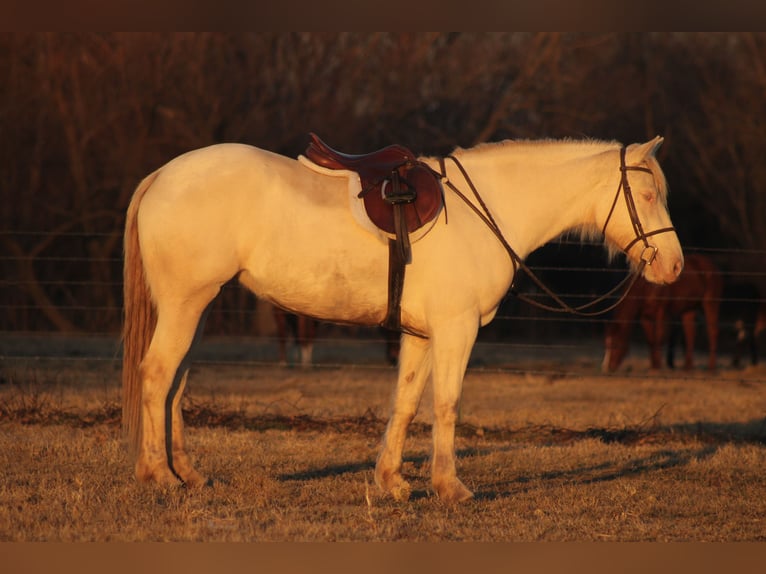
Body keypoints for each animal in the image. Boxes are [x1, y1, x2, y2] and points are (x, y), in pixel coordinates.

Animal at [122, 135, 683, 503]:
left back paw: (188, 474)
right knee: (157, 375)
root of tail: (162, 176)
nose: (673, 266)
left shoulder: (421, 334)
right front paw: (450, 486)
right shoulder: (457, 329)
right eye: (648, 195)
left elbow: (407, 402)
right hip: (185, 305)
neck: (490, 210)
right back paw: (157, 475)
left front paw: (391, 481)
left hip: (195, 307)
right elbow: (447, 405)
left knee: (175, 383)